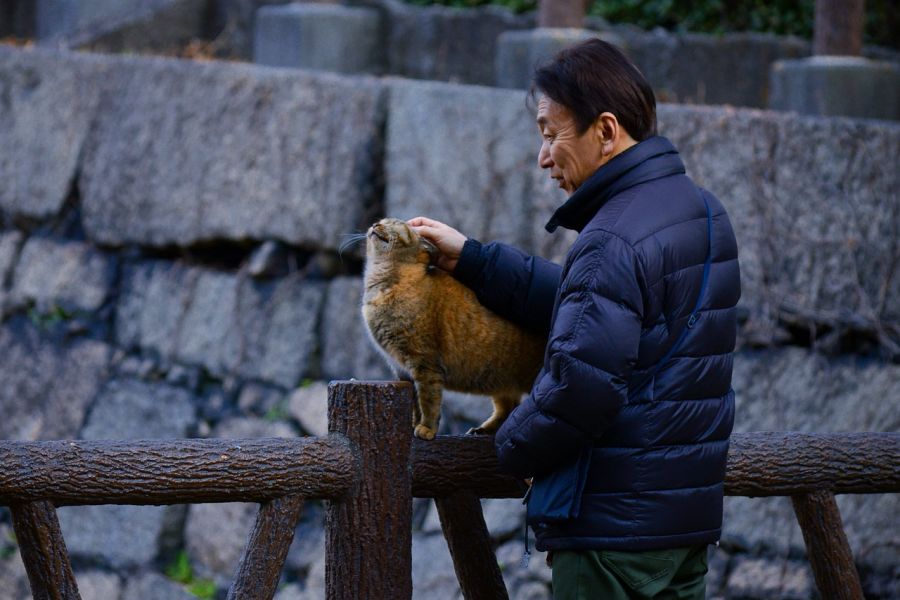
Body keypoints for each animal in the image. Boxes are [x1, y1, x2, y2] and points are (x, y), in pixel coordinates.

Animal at [360, 219, 544, 440]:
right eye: (382, 221)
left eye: (395, 223)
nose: (375, 224)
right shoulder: (403, 370)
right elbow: (414, 404)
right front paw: (414, 424)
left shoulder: (425, 363)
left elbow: (428, 401)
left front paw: (426, 429)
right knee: (507, 406)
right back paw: (483, 430)